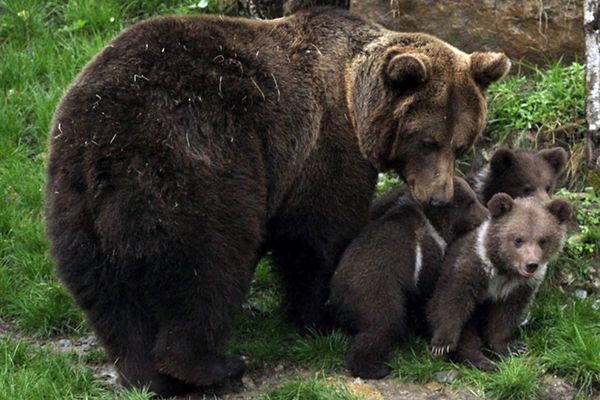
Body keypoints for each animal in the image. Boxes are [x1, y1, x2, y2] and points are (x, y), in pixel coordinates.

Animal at [44, 7, 508, 396]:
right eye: (428, 142)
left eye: (461, 144)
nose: (439, 197)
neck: (354, 99)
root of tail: (103, 142)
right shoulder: (321, 147)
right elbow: (316, 238)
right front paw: (320, 316)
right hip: (194, 171)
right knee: (206, 269)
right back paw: (214, 367)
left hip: (75, 207)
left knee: (109, 297)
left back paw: (144, 374)